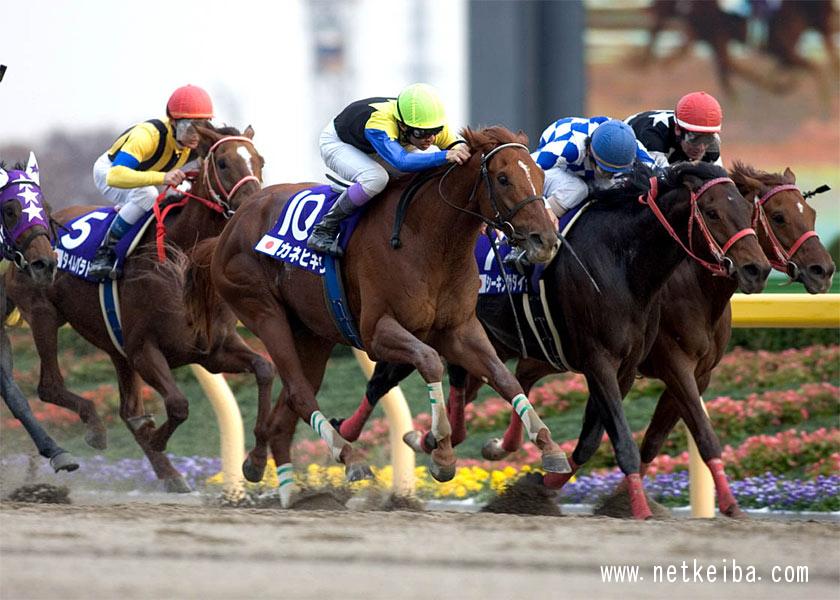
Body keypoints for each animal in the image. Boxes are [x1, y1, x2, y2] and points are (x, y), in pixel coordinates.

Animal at [4, 124, 274, 490]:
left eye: (259, 160)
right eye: (222, 163)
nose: (253, 207)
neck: (180, 259)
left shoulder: (213, 350)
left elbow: (264, 368)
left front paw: (256, 462)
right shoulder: (144, 349)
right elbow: (178, 404)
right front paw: (155, 437)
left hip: (114, 345)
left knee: (126, 407)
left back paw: (170, 474)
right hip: (43, 313)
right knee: (50, 385)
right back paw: (96, 431)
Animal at [189, 126, 572, 492]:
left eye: (540, 173)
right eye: (503, 178)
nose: (545, 240)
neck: (429, 239)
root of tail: (236, 220)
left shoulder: (459, 329)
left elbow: (504, 377)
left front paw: (550, 448)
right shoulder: (378, 332)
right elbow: (430, 361)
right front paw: (442, 452)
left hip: (312, 334)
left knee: (290, 408)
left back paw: (269, 472)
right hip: (263, 311)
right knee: (297, 391)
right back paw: (350, 457)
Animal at [334, 162, 768, 516]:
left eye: (748, 212)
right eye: (712, 212)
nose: (757, 269)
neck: (622, 262)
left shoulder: (629, 368)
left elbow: (601, 439)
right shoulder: (608, 361)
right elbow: (623, 440)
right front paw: (639, 509)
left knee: (475, 385)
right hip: (419, 329)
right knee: (381, 382)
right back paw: (351, 437)